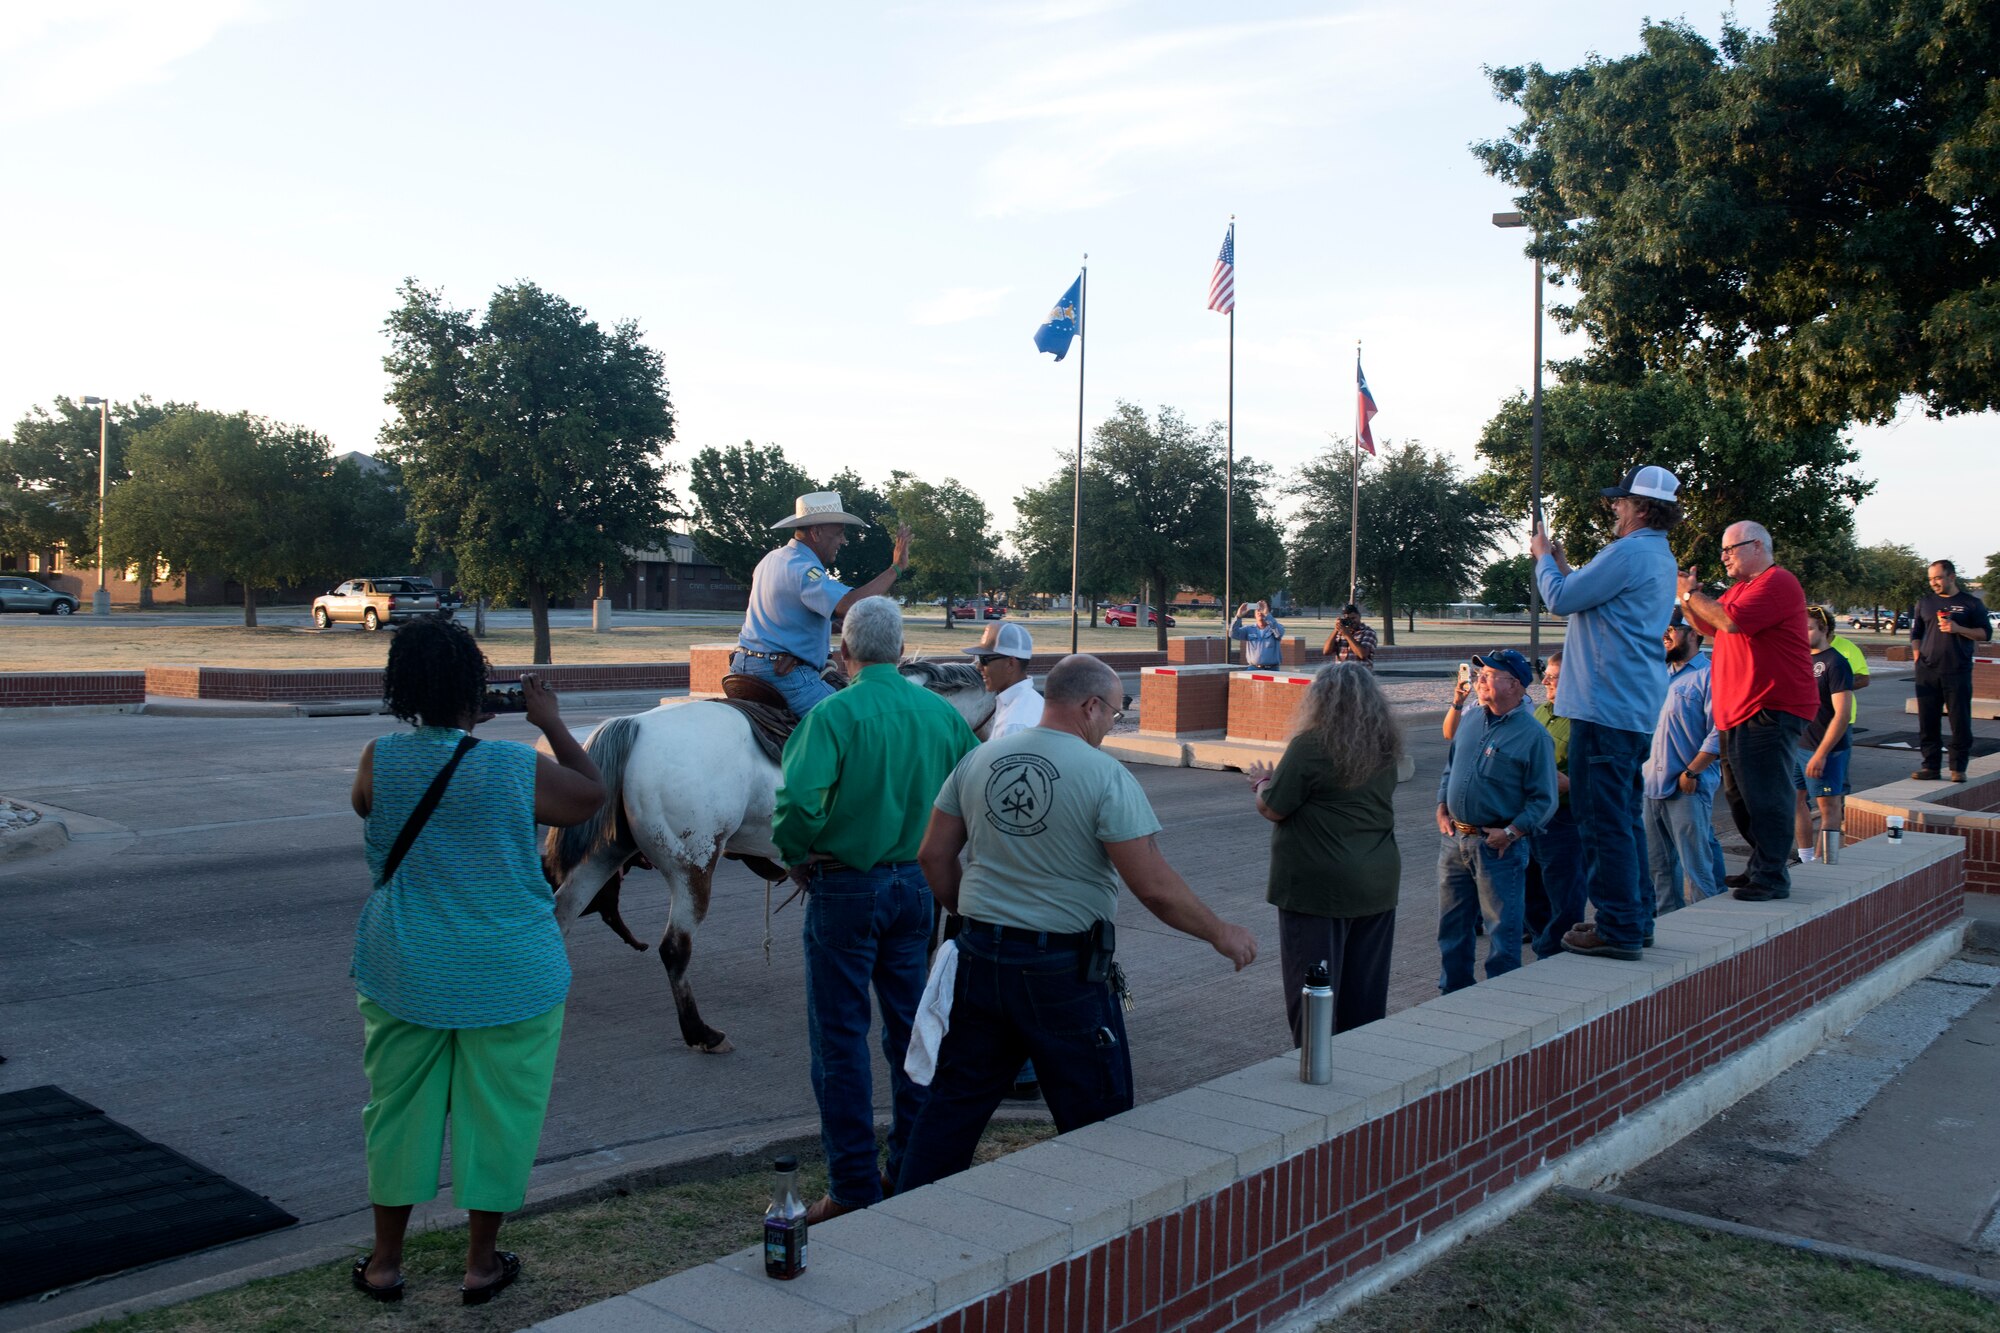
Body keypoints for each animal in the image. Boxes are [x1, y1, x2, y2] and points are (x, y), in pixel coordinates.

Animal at [540, 660, 992, 1056]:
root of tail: (634, 726)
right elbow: (930, 928)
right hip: (693, 865)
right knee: (674, 948)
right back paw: (702, 1033)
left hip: (604, 855)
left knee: (562, 916)